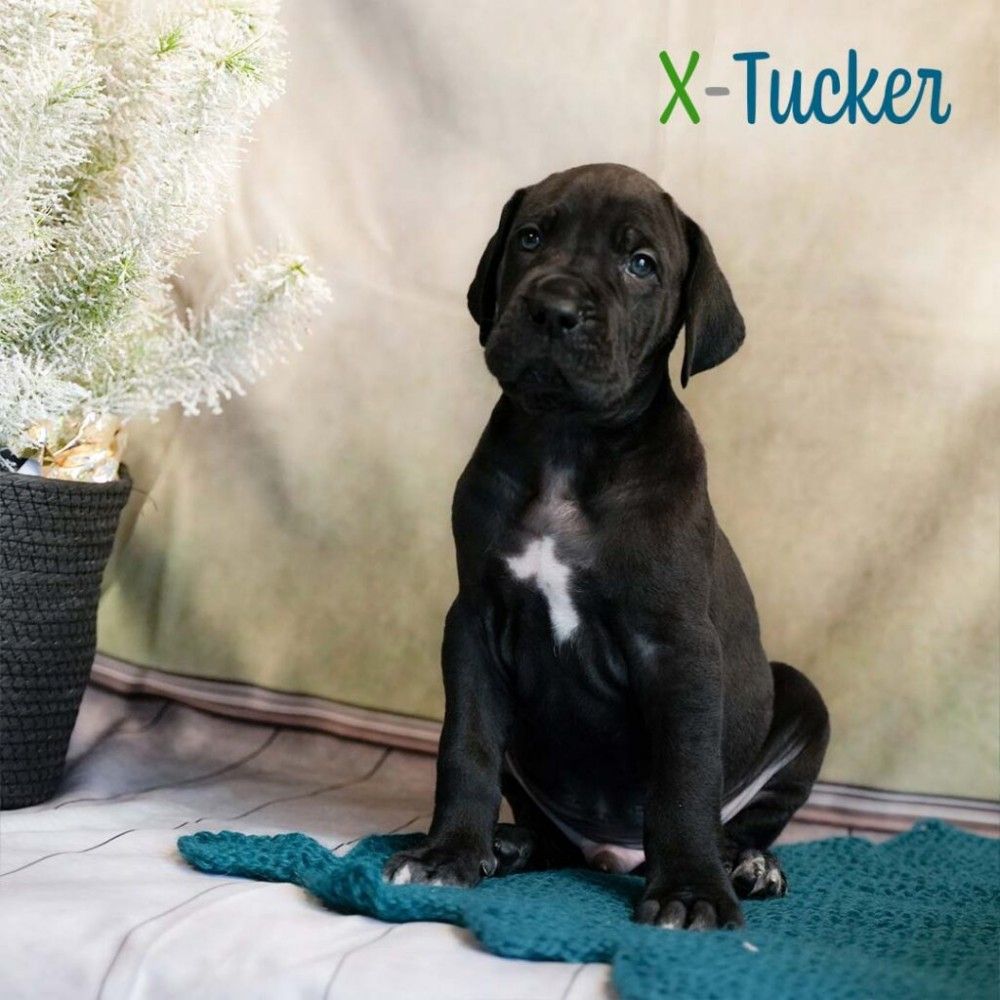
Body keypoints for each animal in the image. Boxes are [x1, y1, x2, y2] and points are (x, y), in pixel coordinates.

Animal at [384, 163, 830, 930]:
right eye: (531, 238)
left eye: (641, 264)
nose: (554, 309)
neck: (568, 443)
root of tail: (614, 854)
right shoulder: (473, 623)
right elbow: (465, 744)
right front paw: (449, 855)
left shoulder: (678, 644)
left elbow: (684, 773)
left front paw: (691, 890)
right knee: (545, 827)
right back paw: (510, 845)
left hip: (801, 700)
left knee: (742, 819)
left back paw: (746, 865)